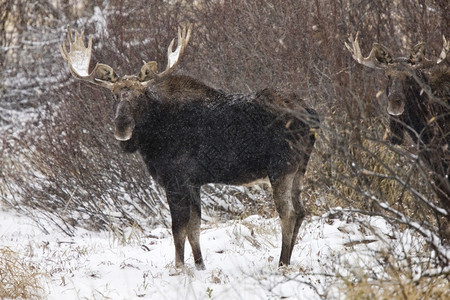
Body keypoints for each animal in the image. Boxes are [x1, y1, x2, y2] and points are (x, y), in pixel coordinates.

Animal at [59, 25, 320, 270]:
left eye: (140, 95)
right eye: (114, 96)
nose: (122, 127)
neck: (152, 139)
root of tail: (311, 114)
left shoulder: (176, 179)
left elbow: (178, 228)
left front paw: (178, 267)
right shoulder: (194, 182)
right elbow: (194, 227)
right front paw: (199, 265)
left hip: (281, 168)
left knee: (288, 214)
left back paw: (282, 262)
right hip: (300, 167)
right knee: (301, 211)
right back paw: (288, 259)